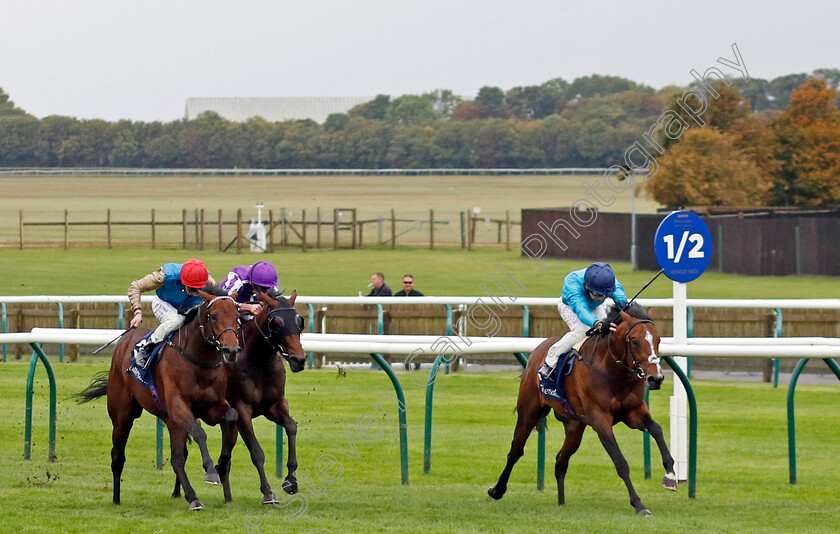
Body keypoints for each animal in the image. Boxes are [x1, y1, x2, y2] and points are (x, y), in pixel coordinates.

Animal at [78, 288, 240, 510]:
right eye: (213, 316)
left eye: (237, 316)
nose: (231, 350)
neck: (198, 361)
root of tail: (124, 342)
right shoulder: (178, 406)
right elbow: (199, 433)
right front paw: (211, 471)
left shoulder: (211, 408)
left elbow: (232, 415)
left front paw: (221, 465)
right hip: (123, 415)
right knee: (118, 455)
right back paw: (117, 499)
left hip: (171, 421)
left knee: (178, 458)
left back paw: (191, 496)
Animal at [174, 292, 308, 504]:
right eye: (276, 323)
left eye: (299, 321)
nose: (299, 360)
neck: (258, 361)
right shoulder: (242, 408)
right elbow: (256, 452)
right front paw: (267, 492)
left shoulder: (275, 405)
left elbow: (291, 427)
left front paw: (291, 481)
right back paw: (181, 491)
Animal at [488, 306, 680, 520]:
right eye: (635, 341)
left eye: (659, 340)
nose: (656, 378)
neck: (612, 371)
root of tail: (537, 351)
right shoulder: (600, 419)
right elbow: (620, 462)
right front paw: (639, 505)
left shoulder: (633, 412)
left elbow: (657, 430)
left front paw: (670, 476)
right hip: (528, 412)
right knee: (515, 451)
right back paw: (497, 490)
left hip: (575, 426)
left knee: (561, 460)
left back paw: (561, 503)